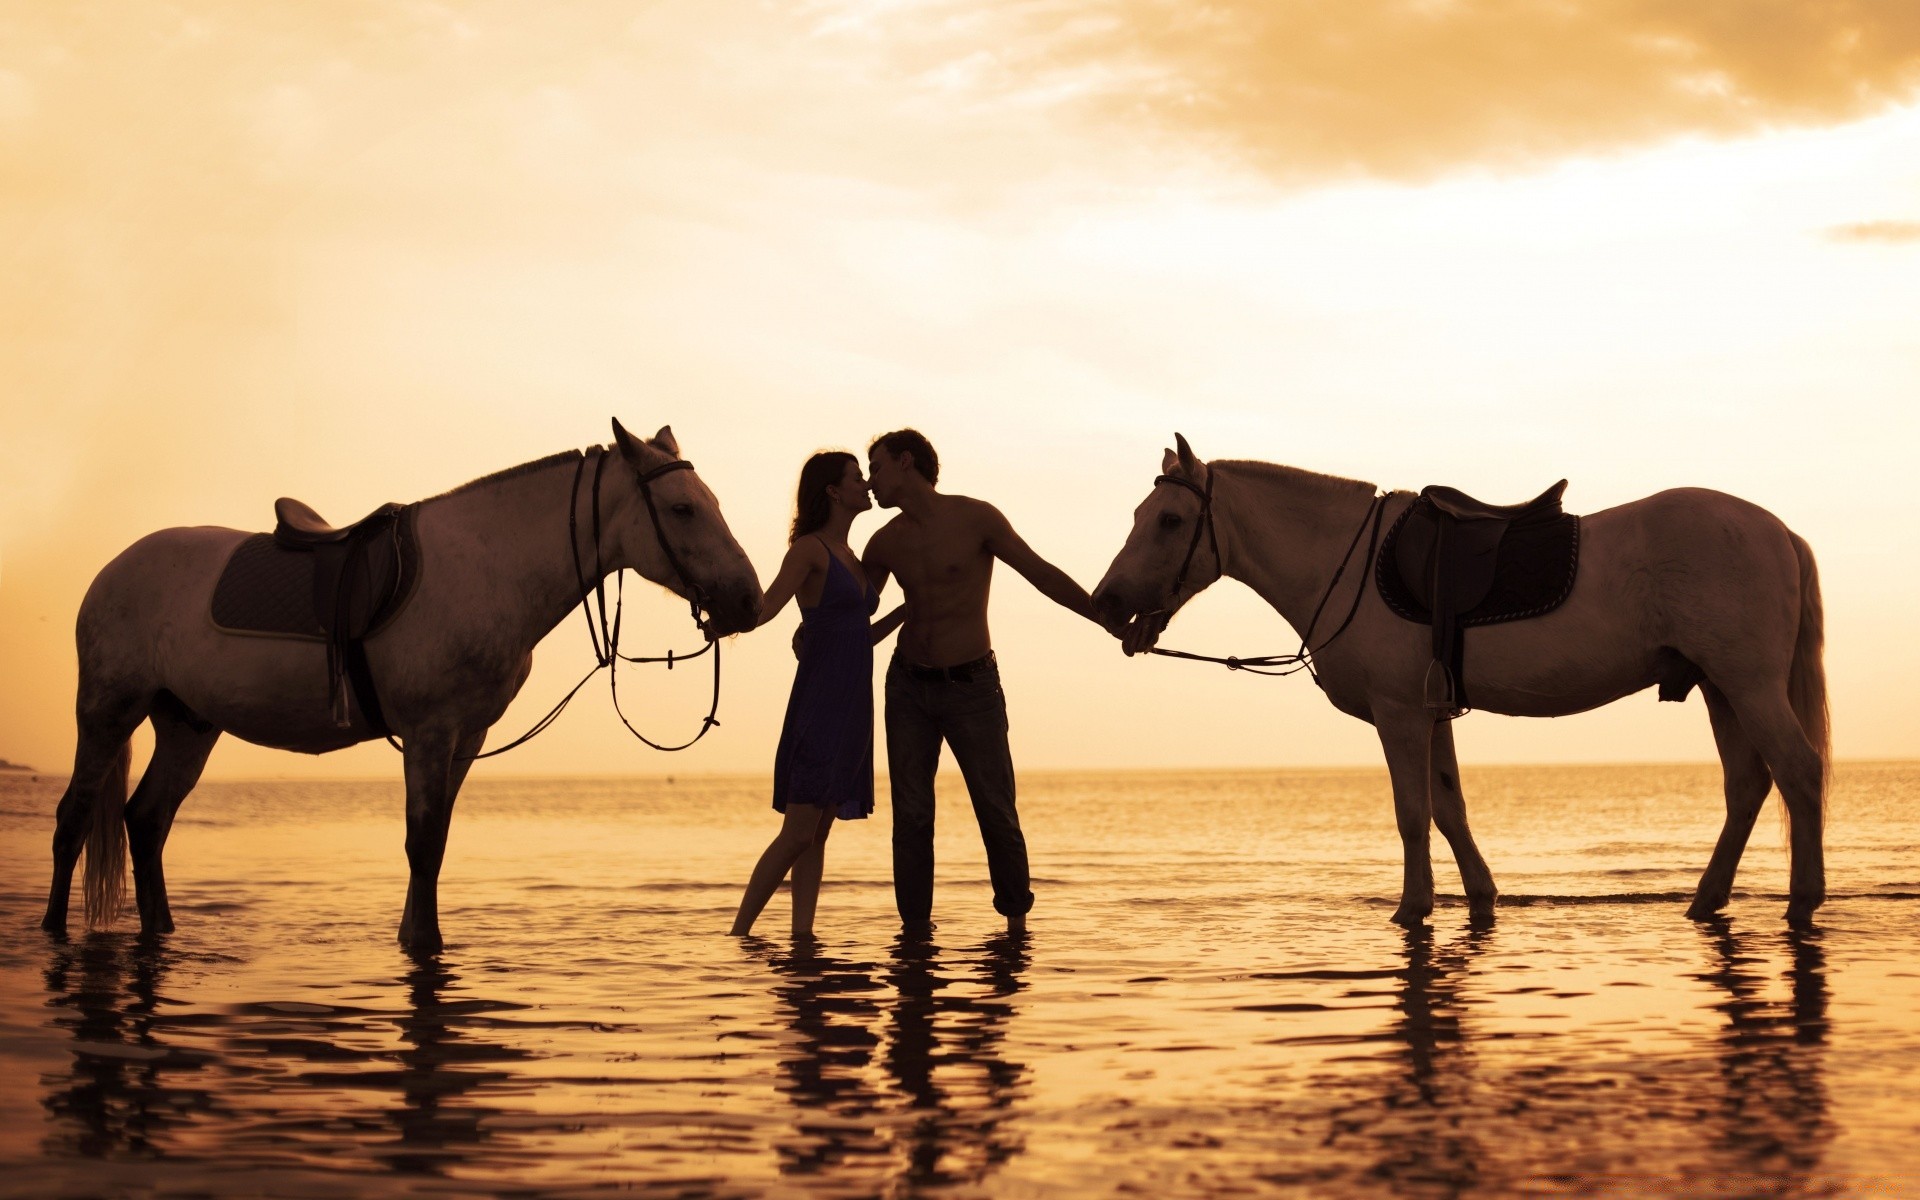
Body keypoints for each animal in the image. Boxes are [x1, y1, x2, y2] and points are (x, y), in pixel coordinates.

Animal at [37, 420, 756, 956]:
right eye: (682, 509)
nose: (747, 600)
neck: (491, 566)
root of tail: (114, 568)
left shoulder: (467, 736)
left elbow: (434, 841)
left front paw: (417, 934)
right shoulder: (430, 732)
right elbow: (422, 840)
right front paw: (424, 941)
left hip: (189, 724)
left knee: (146, 819)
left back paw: (162, 930)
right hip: (107, 711)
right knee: (74, 818)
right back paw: (52, 929)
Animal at [1098, 435, 1827, 933]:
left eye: (1168, 520)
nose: (1106, 601)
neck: (1343, 562)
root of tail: (1780, 531)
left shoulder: (1399, 715)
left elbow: (1412, 812)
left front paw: (1411, 907)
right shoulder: (1434, 713)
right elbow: (1450, 808)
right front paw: (1480, 896)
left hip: (1750, 685)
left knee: (1798, 770)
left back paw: (1803, 898)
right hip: (1721, 689)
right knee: (1747, 786)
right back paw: (1706, 899)